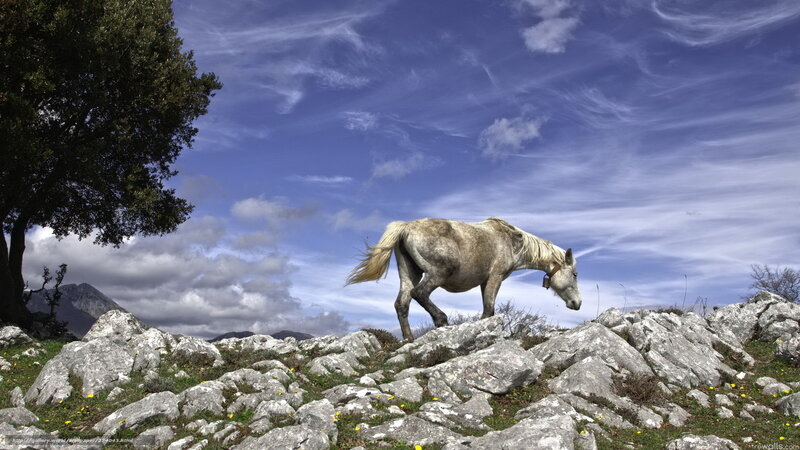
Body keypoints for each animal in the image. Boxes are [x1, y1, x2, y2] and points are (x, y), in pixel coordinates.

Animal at [345, 217, 582, 341]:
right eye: (575, 274)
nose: (577, 303)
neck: (512, 242)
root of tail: (406, 227)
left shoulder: (484, 282)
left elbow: (488, 310)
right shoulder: (495, 278)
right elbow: (489, 311)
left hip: (410, 273)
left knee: (402, 304)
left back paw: (409, 340)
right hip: (438, 273)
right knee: (420, 293)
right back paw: (441, 321)